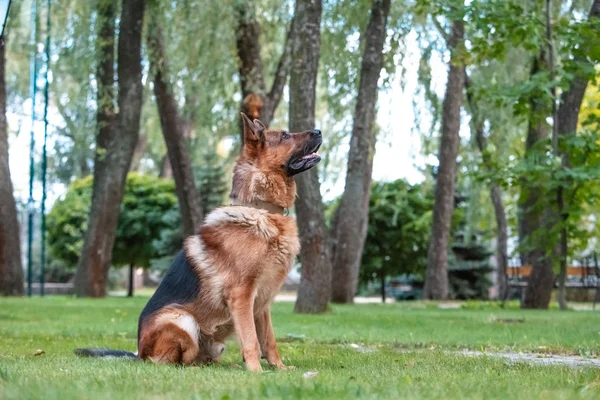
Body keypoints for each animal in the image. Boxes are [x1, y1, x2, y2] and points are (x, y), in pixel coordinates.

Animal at [76, 113, 324, 372]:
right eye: (285, 136)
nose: (319, 131)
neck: (261, 208)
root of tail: (138, 353)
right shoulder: (242, 295)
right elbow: (251, 339)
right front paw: (256, 371)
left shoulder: (262, 304)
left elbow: (269, 340)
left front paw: (279, 369)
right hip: (182, 320)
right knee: (172, 361)